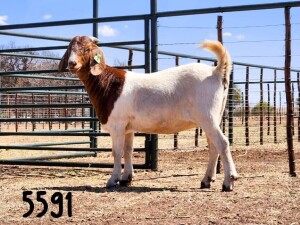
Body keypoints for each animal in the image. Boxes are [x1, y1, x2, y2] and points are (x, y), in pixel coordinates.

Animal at [58, 36, 237, 191]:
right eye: (70, 48)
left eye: (87, 49)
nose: (72, 63)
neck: (107, 82)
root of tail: (216, 71)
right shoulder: (128, 128)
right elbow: (128, 150)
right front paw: (126, 178)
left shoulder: (117, 125)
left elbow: (117, 152)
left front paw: (112, 180)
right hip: (213, 118)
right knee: (213, 146)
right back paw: (207, 180)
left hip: (207, 117)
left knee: (222, 143)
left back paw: (228, 182)